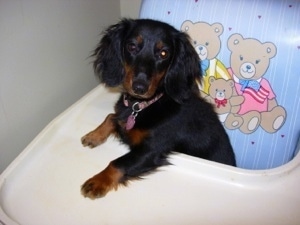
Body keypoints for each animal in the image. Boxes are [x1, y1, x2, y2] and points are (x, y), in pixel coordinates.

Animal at [81, 18, 236, 199]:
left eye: (164, 53)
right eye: (131, 46)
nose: (139, 87)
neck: (144, 105)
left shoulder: (151, 151)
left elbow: (117, 162)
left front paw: (97, 181)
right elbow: (111, 117)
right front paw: (94, 136)